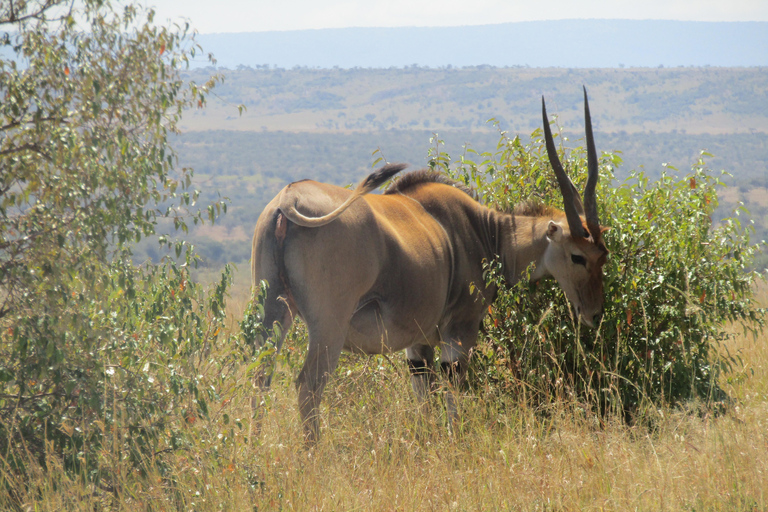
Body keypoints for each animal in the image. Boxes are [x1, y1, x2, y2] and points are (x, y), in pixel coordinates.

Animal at [249, 87, 608, 440]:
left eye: (603, 255)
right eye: (578, 256)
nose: (595, 314)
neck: (484, 229)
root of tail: (289, 199)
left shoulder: (417, 345)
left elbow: (423, 400)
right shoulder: (459, 332)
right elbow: (451, 398)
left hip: (273, 314)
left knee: (259, 378)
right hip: (328, 327)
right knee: (307, 385)